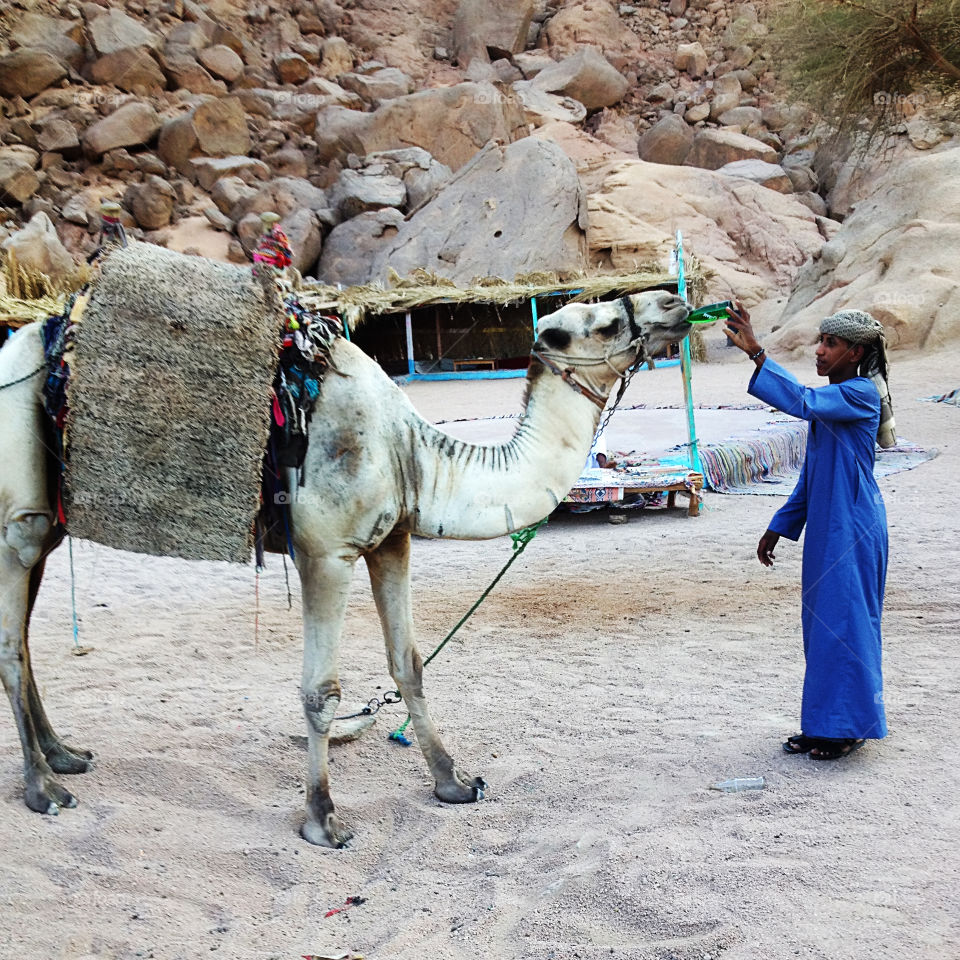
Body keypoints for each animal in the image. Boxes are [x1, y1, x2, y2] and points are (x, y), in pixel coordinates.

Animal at [0, 286, 688, 848]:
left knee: (25, 639)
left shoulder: (392, 542)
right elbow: (321, 692)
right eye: (602, 324)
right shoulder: (325, 552)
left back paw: (65, 756)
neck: (409, 452)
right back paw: (44, 789)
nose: (676, 303)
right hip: (21, 520)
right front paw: (322, 819)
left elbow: (409, 665)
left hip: (50, 528)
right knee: (10, 647)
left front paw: (454, 782)